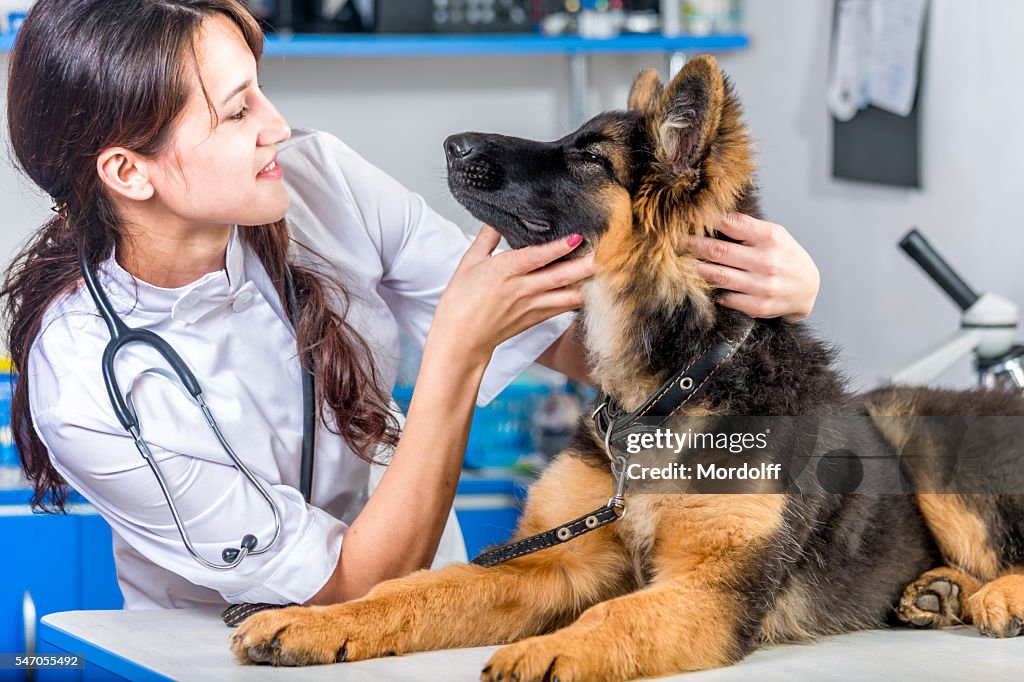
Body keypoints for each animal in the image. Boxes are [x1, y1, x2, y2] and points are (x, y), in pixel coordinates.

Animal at [232, 57, 1024, 675]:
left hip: (920, 436)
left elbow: (614, 618)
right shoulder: (553, 562)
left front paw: (544, 653)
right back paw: (939, 592)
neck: (673, 387)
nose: (454, 142)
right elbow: (417, 590)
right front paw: (315, 621)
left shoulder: (710, 590)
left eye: (589, 158)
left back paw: (994, 595)